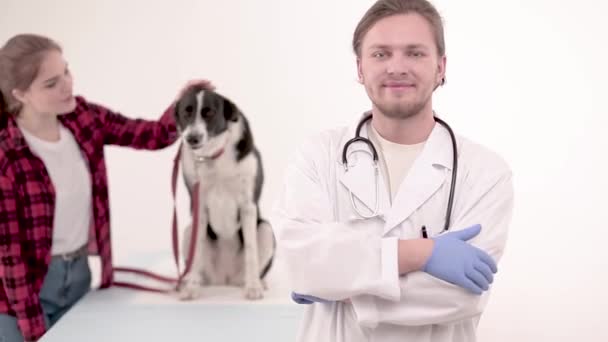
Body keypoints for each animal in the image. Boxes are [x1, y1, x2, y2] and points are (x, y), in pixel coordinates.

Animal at [172, 88, 274, 300]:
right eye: (187, 112)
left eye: (209, 113)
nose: (191, 138)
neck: (214, 156)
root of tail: (224, 279)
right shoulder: (199, 208)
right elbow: (197, 252)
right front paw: (191, 289)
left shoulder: (248, 206)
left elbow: (251, 251)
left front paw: (253, 287)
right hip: (187, 232)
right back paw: (191, 281)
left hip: (266, 229)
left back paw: (258, 282)